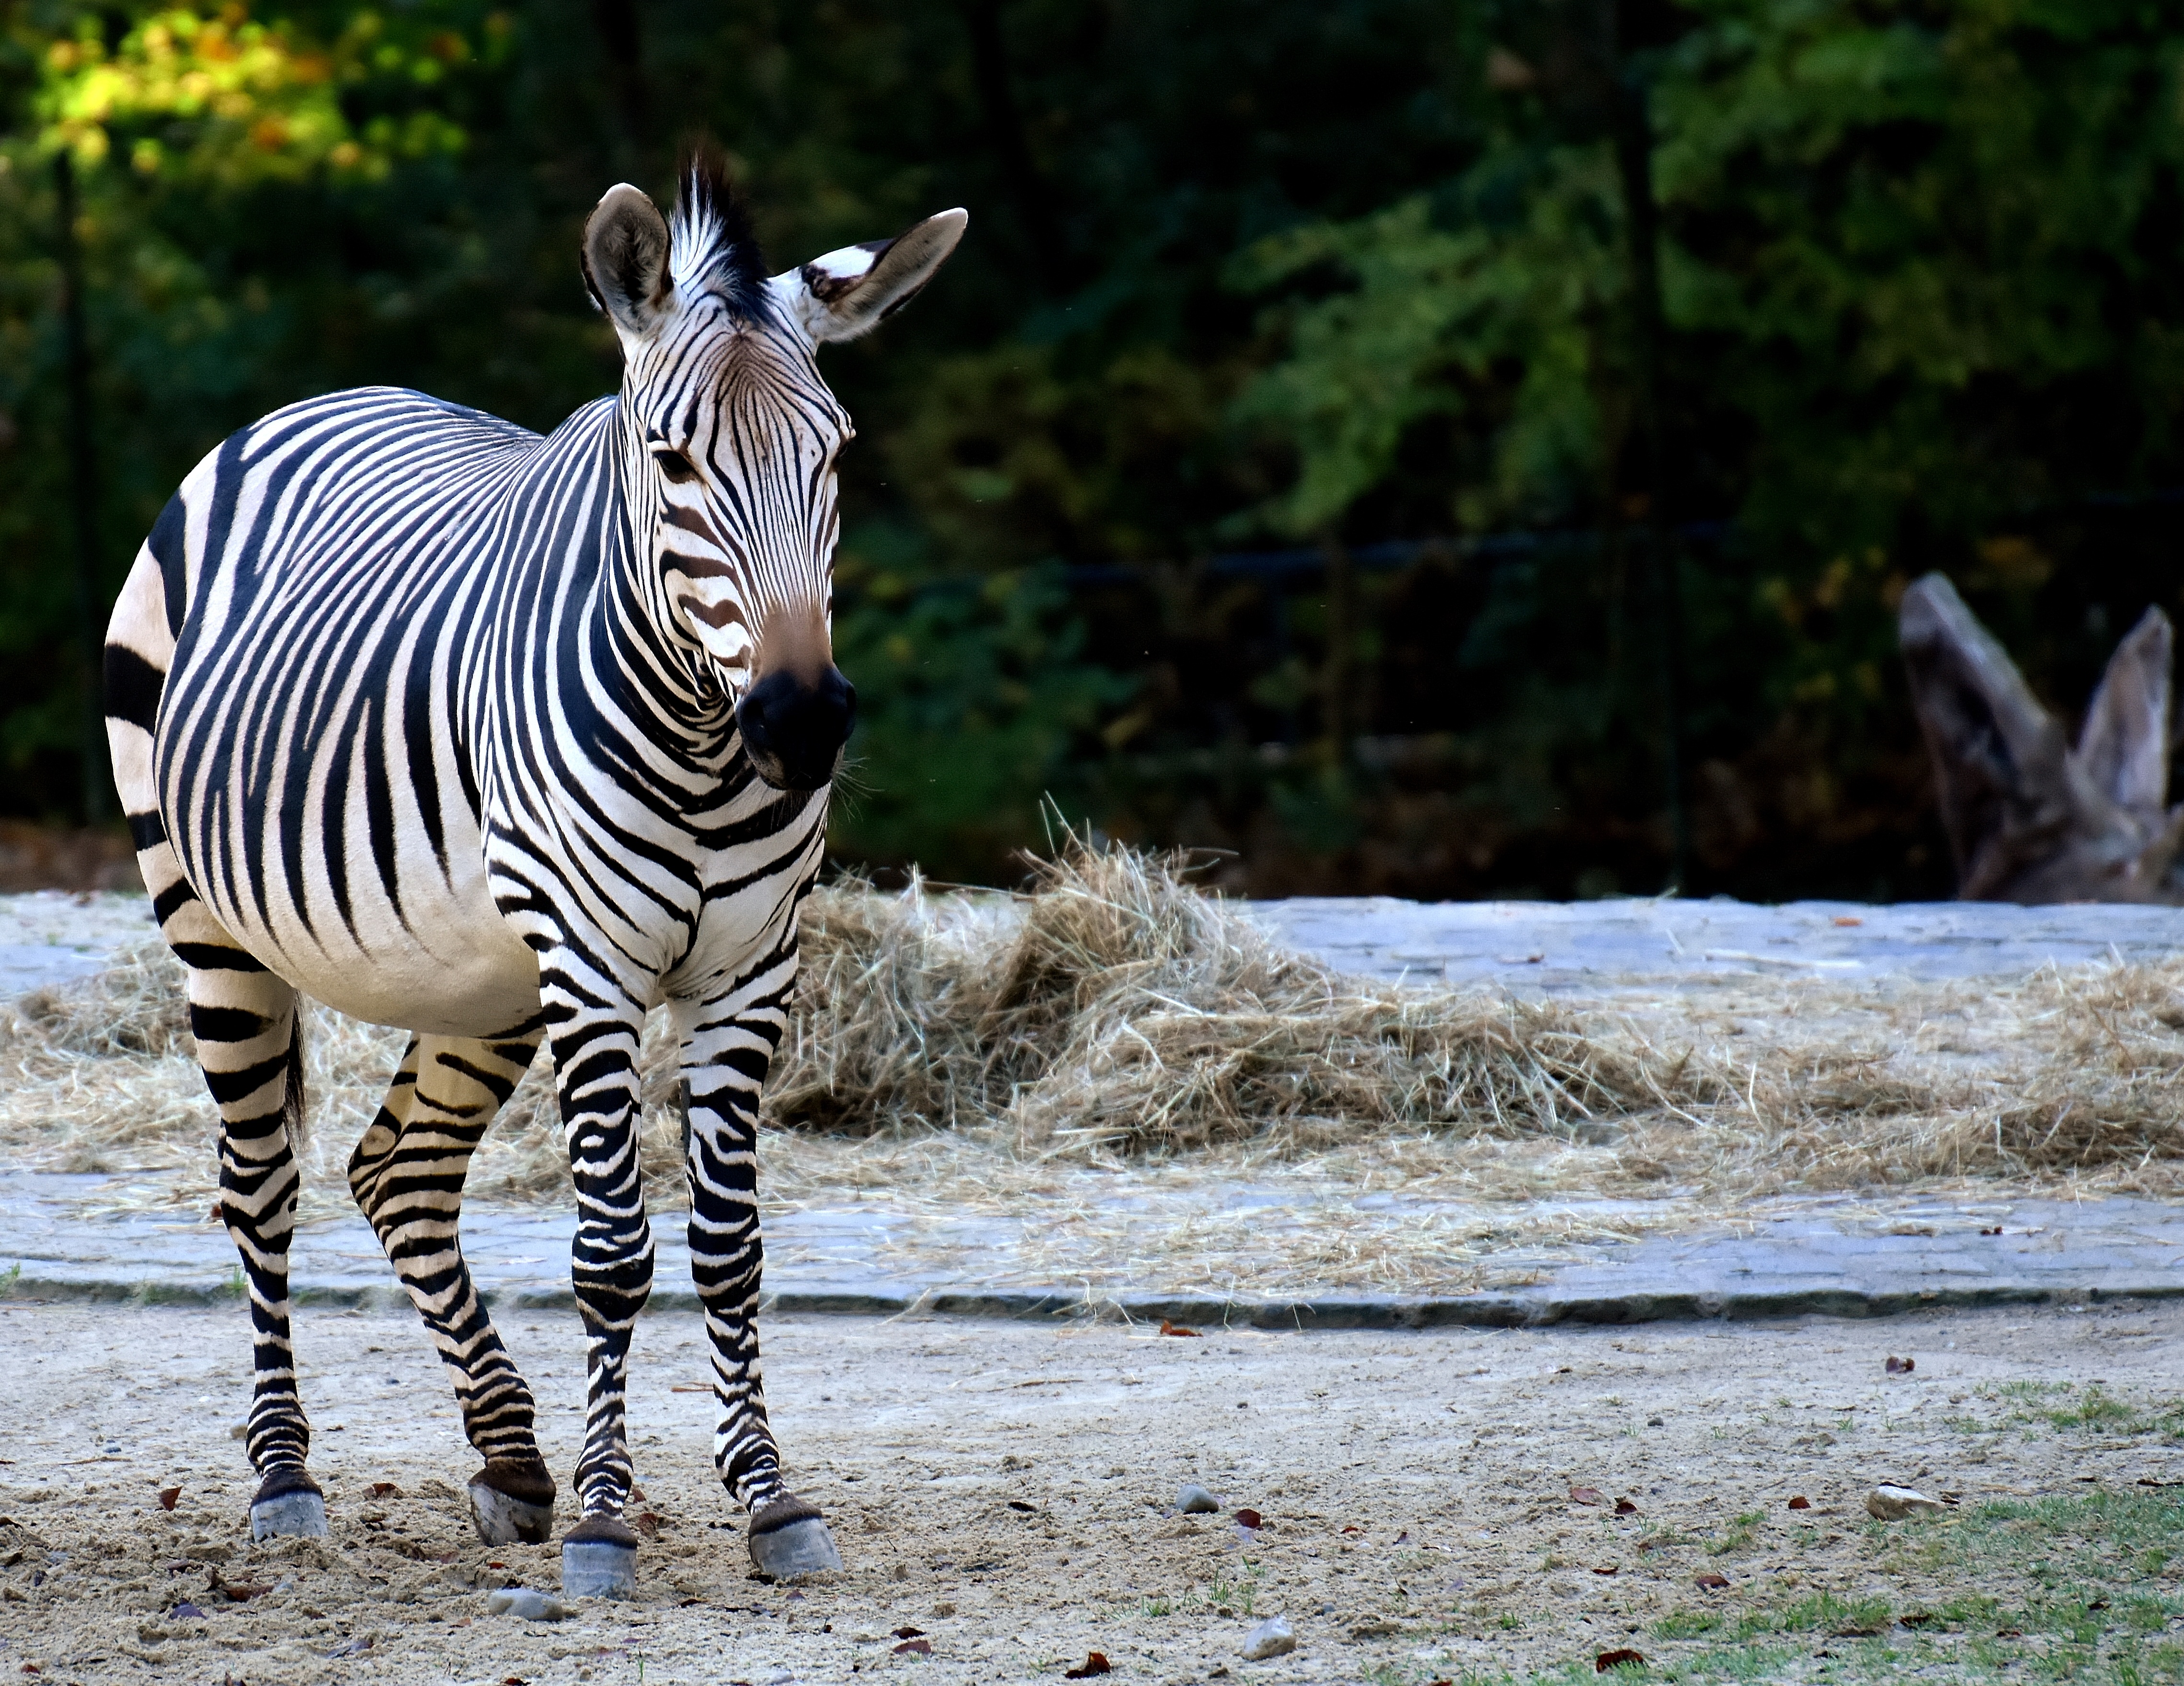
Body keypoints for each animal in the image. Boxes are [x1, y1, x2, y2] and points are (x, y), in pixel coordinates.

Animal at [98, 151, 961, 1590]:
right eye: (672, 461)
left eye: (837, 456)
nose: (800, 723)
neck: (698, 737)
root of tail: (317, 398)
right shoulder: (596, 965)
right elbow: (613, 1251)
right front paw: (612, 1520)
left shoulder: (749, 966)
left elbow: (728, 1246)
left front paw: (767, 1496)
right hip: (213, 921)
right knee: (260, 1187)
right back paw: (285, 1480)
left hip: (482, 974)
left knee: (396, 1172)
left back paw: (510, 1458)